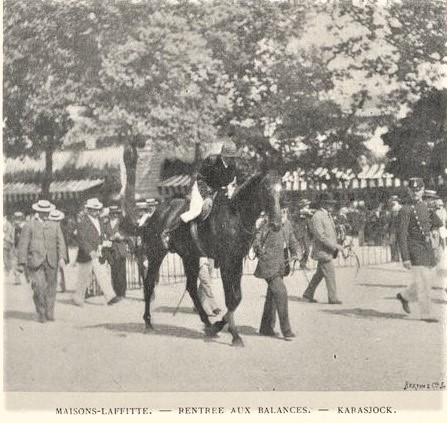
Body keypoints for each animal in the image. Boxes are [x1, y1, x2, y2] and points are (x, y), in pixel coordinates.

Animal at [138, 171, 282, 346]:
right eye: (266, 190)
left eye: (281, 191)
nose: (277, 224)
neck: (236, 215)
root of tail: (155, 213)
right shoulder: (227, 263)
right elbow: (230, 299)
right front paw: (234, 335)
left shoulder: (237, 262)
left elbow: (237, 298)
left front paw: (218, 326)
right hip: (156, 254)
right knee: (149, 283)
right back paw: (148, 322)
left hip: (190, 257)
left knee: (191, 288)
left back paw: (207, 323)